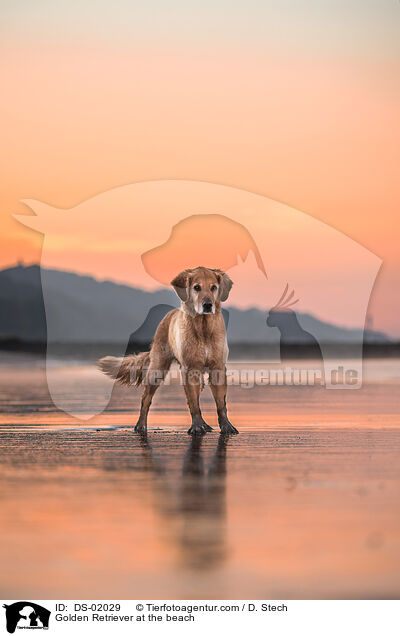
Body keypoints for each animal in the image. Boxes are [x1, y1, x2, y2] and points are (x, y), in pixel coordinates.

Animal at [99, 266, 238, 434]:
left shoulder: (217, 367)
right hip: (157, 369)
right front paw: (197, 426)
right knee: (146, 399)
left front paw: (226, 425)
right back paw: (140, 425)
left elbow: (221, 404)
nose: (207, 305)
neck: (203, 329)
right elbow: (193, 403)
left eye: (214, 287)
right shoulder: (189, 369)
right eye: (196, 287)